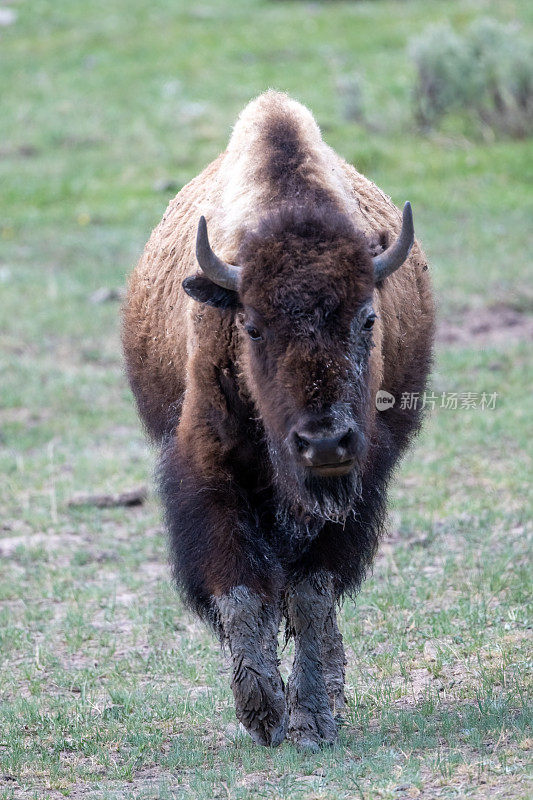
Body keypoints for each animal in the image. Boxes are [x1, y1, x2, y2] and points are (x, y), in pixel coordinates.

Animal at [122, 90, 434, 752]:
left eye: (367, 318)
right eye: (252, 326)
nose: (325, 443)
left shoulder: (359, 488)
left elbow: (312, 596)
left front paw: (310, 717)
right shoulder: (210, 472)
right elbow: (243, 591)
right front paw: (262, 711)